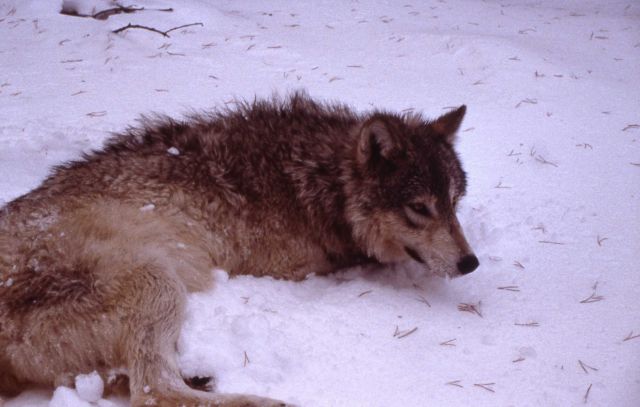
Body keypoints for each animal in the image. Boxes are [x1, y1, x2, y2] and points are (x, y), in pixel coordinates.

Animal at [0, 92, 478, 406]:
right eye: (420, 208)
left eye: (454, 203)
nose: (470, 263)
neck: (318, 181)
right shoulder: (291, 266)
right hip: (154, 278)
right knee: (153, 392)